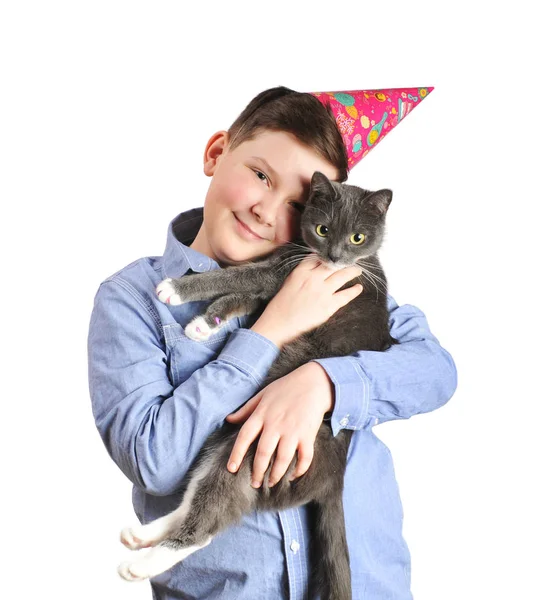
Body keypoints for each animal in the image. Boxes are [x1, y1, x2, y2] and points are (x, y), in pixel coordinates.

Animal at [117, 170, 396, 600]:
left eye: (358, 238)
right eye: (323, 229)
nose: (334, 258)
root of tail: (335, 476)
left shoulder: (280, 274)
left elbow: (239, 276)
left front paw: (175, 290)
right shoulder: (282, 274)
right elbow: (244, 293)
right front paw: (203, 325)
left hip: (253, 453)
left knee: (210, 519)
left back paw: (141, 563)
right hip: (227, 436)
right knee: (198, 496)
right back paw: (142, 535)